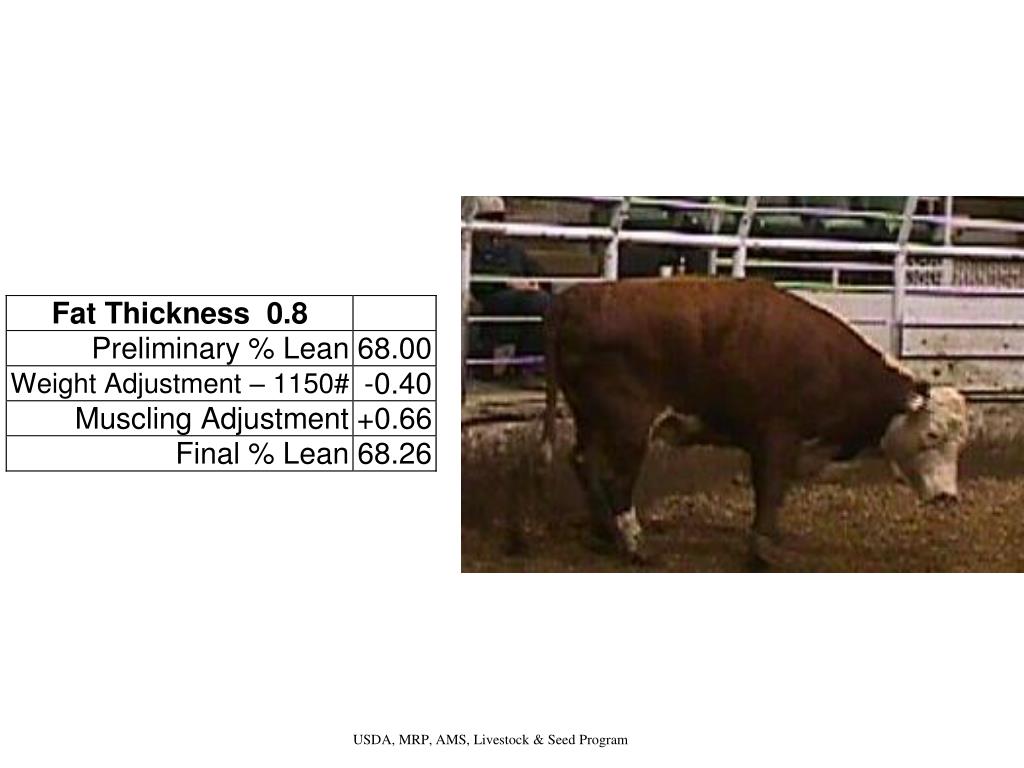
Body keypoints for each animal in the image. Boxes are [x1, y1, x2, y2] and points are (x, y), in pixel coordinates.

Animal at [541, 277, 969, 564]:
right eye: (932, 434)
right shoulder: (777, 435)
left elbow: (775, 491)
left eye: (960, 443)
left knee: (583, 462)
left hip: (590, 419)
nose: (948, 497)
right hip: (628, 427)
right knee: (617, 481)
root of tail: (576, 296)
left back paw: (604, 533)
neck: (835, 367)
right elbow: (771, 489)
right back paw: (634, 544)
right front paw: (763, 549)